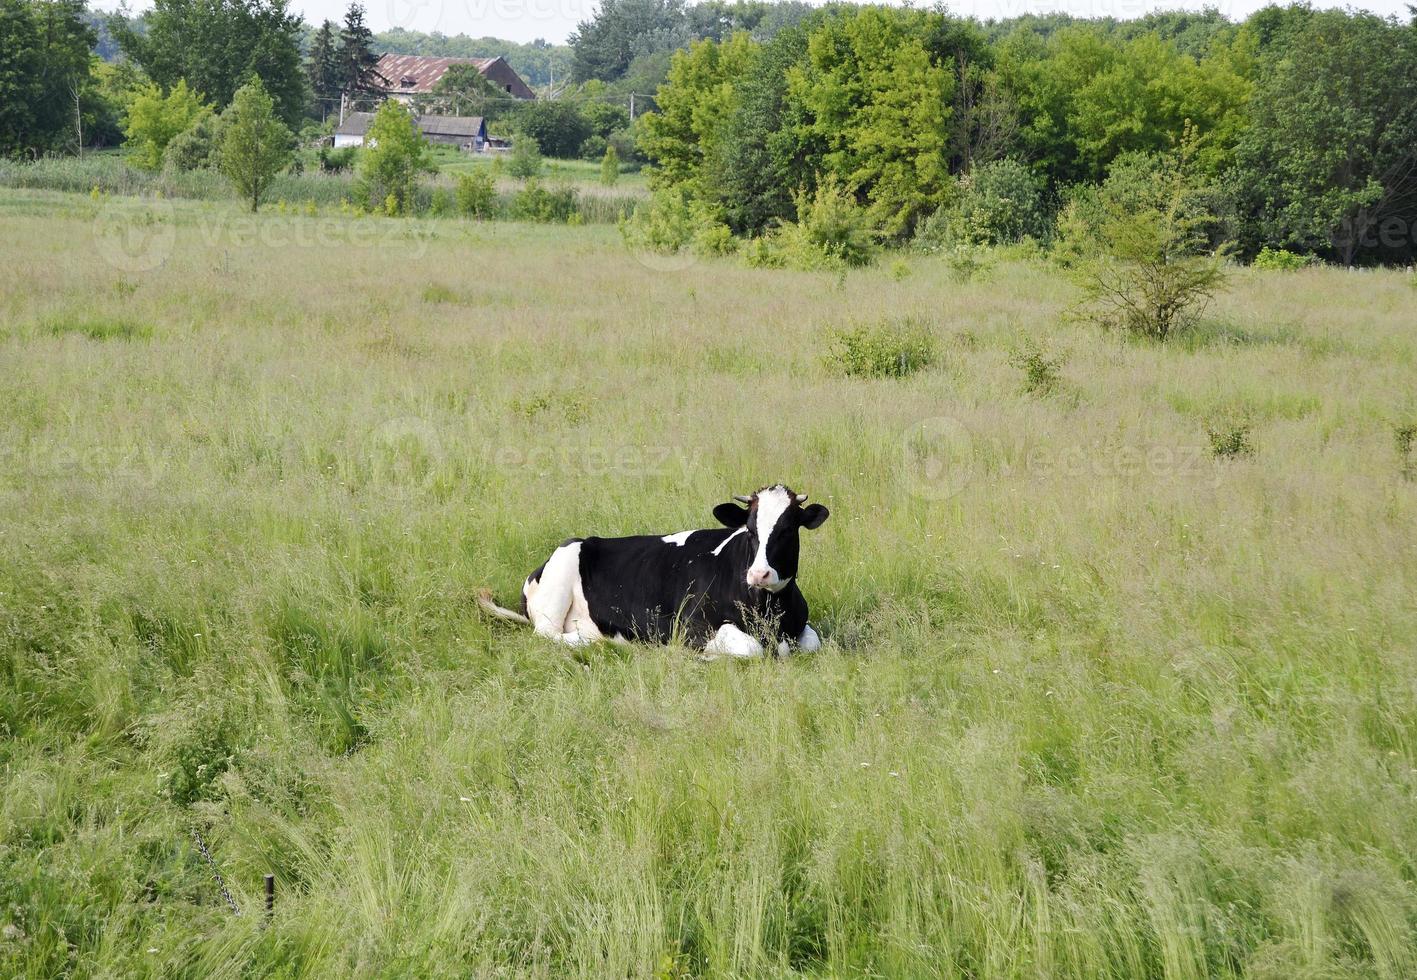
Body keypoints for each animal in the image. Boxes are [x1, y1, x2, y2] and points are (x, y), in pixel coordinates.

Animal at [478, 484, 827, 657]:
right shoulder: (689, 628)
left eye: (787, 529)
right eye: (750, 529)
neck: (766, 610)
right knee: (547, 634)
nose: (759, 575)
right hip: (561, 576)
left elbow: (812, 642)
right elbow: (752, 648)